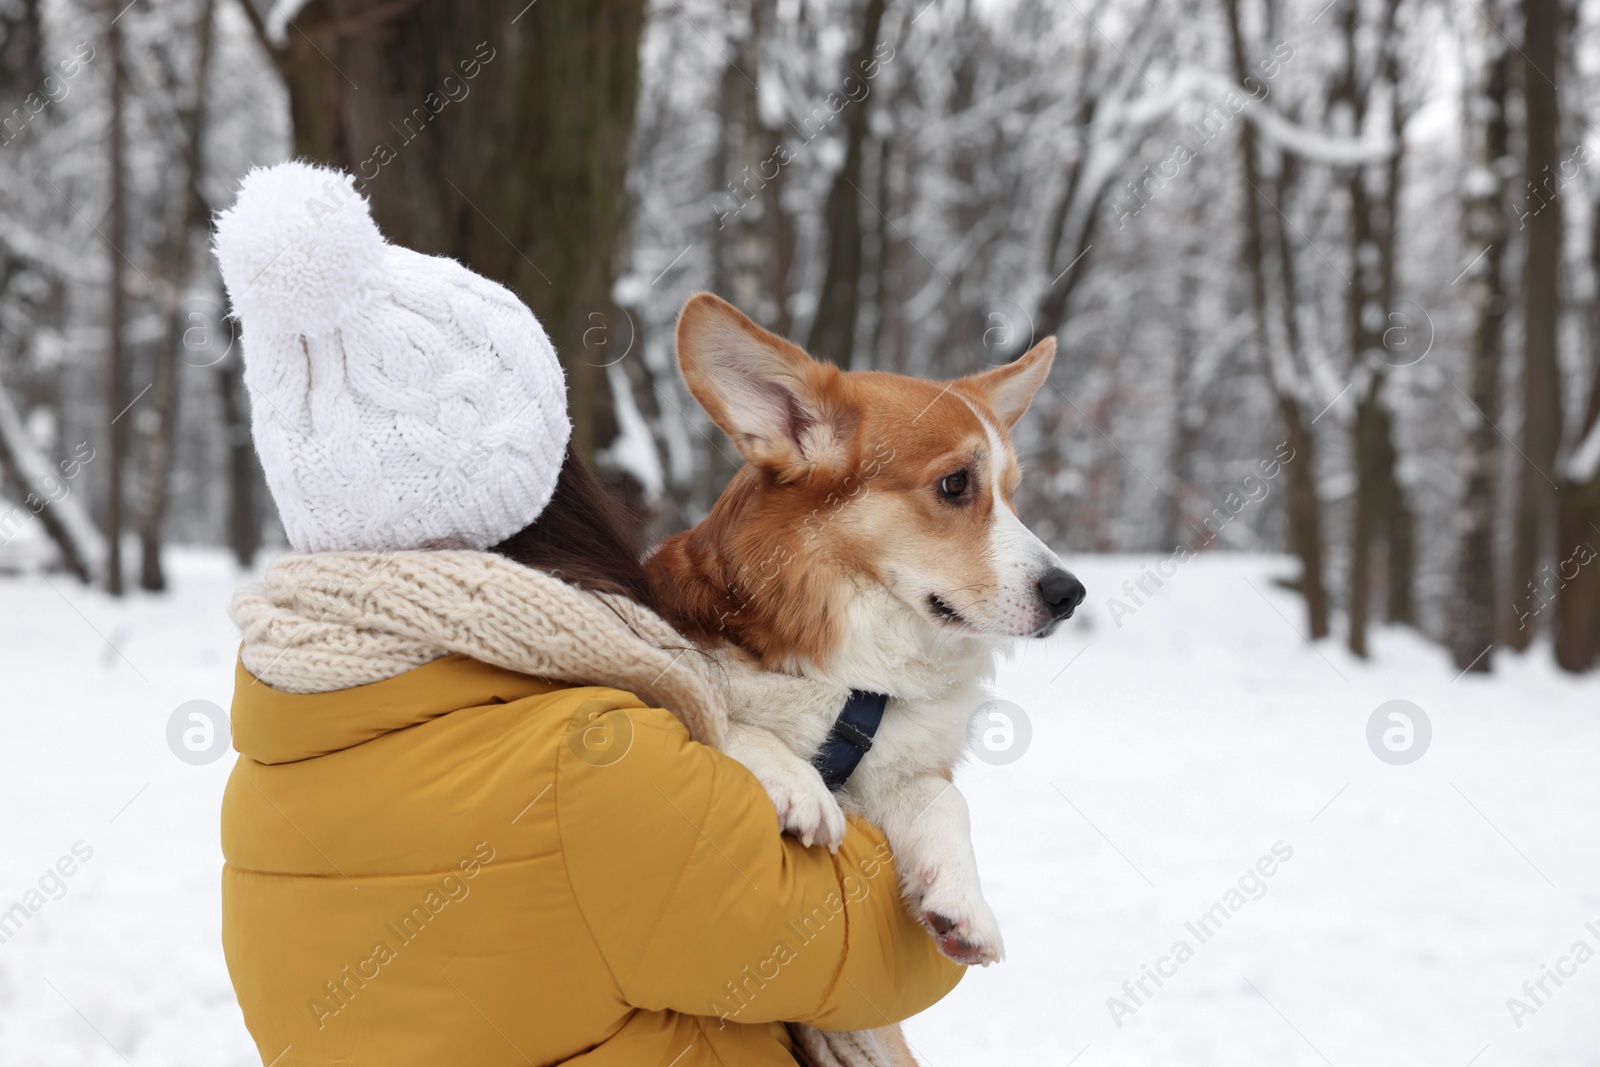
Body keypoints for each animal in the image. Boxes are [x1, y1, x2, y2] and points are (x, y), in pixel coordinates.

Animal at [643, 294, 1081, 1017]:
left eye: (1011, 493)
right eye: (955, 484)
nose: (1070, 594)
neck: (854, 675)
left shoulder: (901, 771)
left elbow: (944, 802)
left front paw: (964, 902)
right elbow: (727, 717)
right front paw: (795, 781)